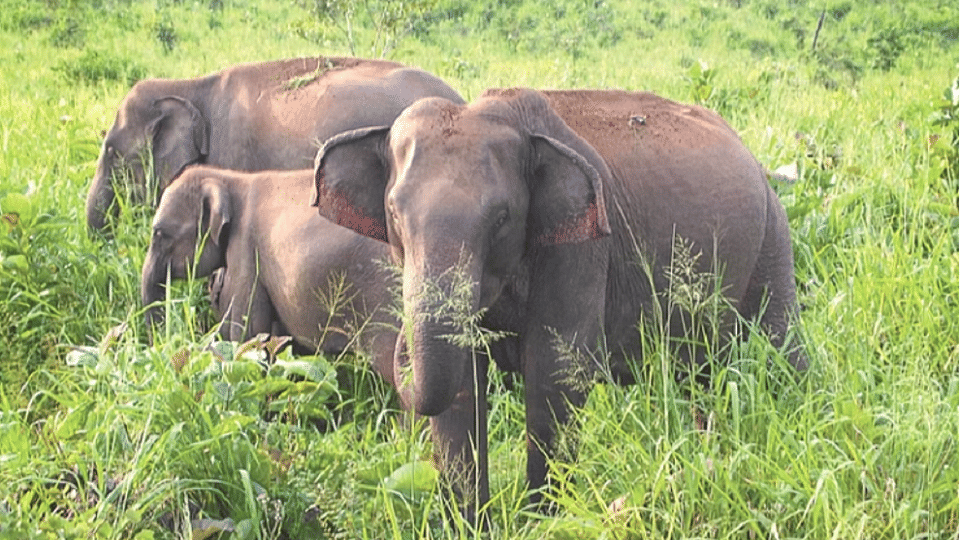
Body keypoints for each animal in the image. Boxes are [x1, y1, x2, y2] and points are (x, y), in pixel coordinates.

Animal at [312, 88, 807, 520]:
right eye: (395, 215)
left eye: (502, 217)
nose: (401, 346)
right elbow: (463, 384)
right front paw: (473, 526)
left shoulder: (583, 246)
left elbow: (556, 370)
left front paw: (541, 521)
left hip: (773, 240)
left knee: (777, 351)